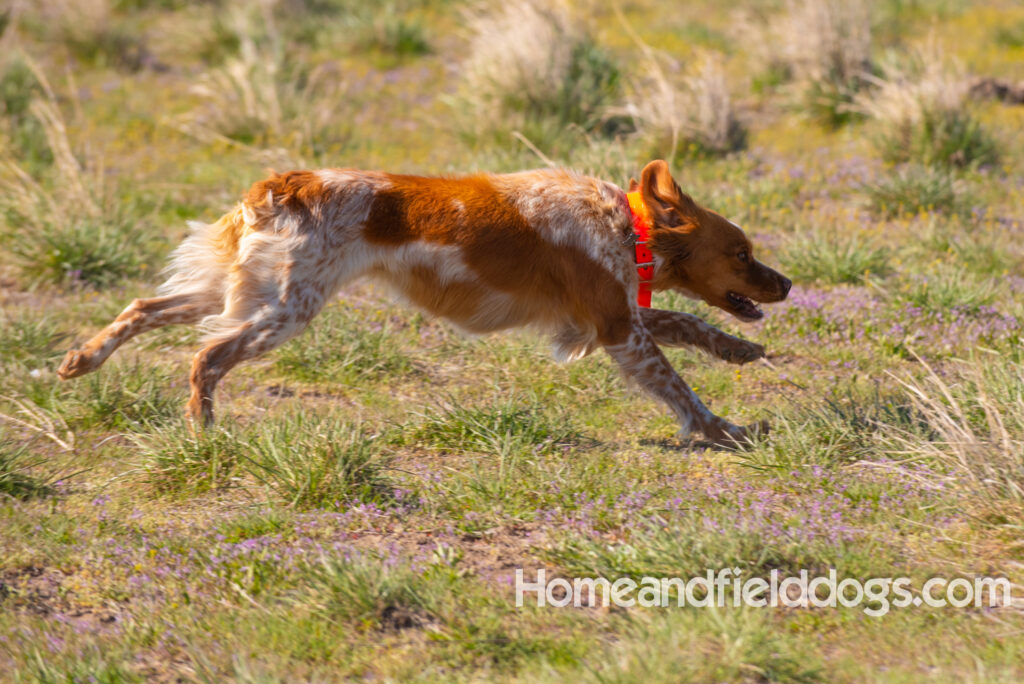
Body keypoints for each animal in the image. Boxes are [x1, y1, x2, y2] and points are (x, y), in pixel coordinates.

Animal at [56, 158, 790, 444]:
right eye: (742, 253)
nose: (785, 284)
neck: (624, 225)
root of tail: (287, 182)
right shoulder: (613, 326)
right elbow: (681, 386)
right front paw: (722, 428)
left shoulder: (599, 317)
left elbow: (686, 321)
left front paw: (737, 347)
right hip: (283, 310)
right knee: (205, 357)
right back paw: (203, 431)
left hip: (240, 290)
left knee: (141, 308)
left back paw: (80, 361)